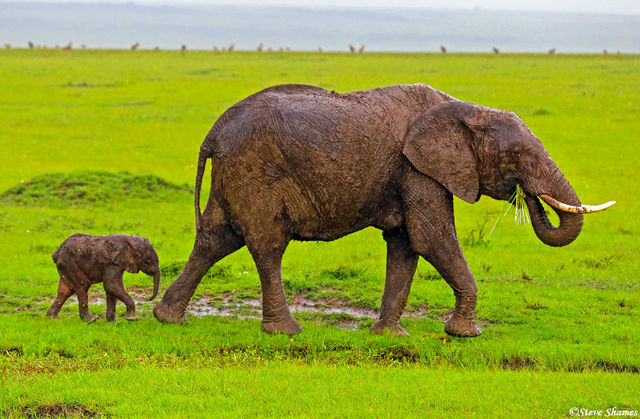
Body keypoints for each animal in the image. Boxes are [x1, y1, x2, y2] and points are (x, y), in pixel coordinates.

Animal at [153, 83, 613, 336]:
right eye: (518, 156)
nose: (528, 195)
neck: (465, 107)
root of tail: (213, 131)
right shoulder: (418, 168)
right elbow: (432, 238)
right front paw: (465, 333)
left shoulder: (413, 172)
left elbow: (406, 244)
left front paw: (390, 335)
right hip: (255, 169)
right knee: (266, 245)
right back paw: (286, 330)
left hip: (233, 172)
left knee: (215, 238)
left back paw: (167, 318)